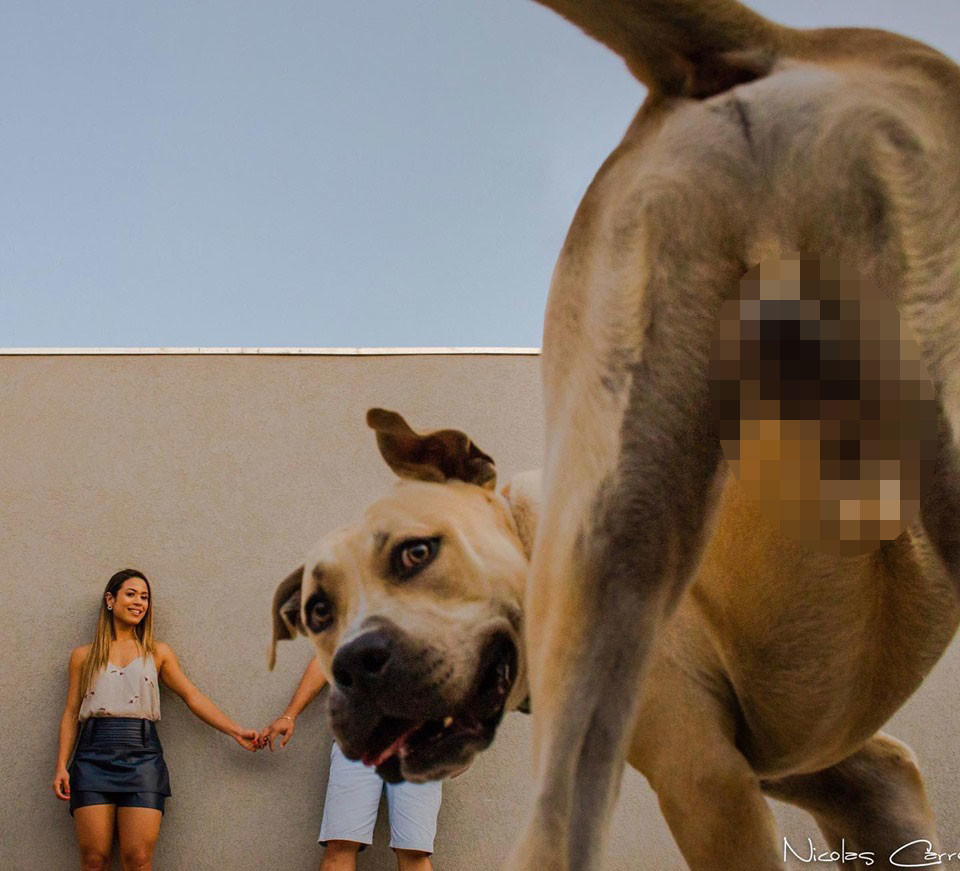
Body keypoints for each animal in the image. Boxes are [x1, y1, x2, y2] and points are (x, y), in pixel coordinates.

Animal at [270, 1, 960, 871]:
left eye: (416, 553)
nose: (357, 663)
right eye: (317, 611)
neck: (528, 529)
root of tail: (736, 53)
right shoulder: (859, 780)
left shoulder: (718, 781)